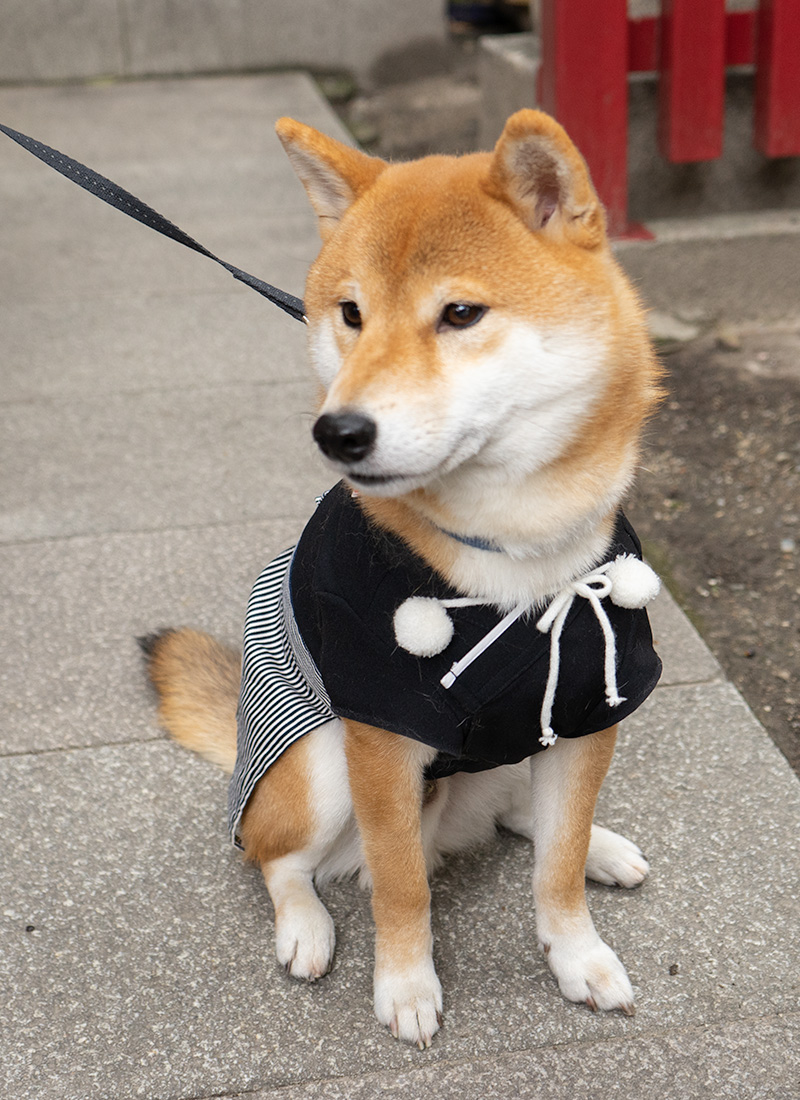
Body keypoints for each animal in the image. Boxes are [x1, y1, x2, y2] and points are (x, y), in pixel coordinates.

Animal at [141, 109, 664, 1047]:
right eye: (350, 314)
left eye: (460, 313)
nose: (337, 431)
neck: (513, 554)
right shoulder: (380, 736)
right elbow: (400, 882)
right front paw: (408, 984)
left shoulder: (589, 708)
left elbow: (557, 867)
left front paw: (578, 953)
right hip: (317, 765)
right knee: (276, 858)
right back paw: (306, 926)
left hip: (512, 753)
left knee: (523, 816)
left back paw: (602, 845)